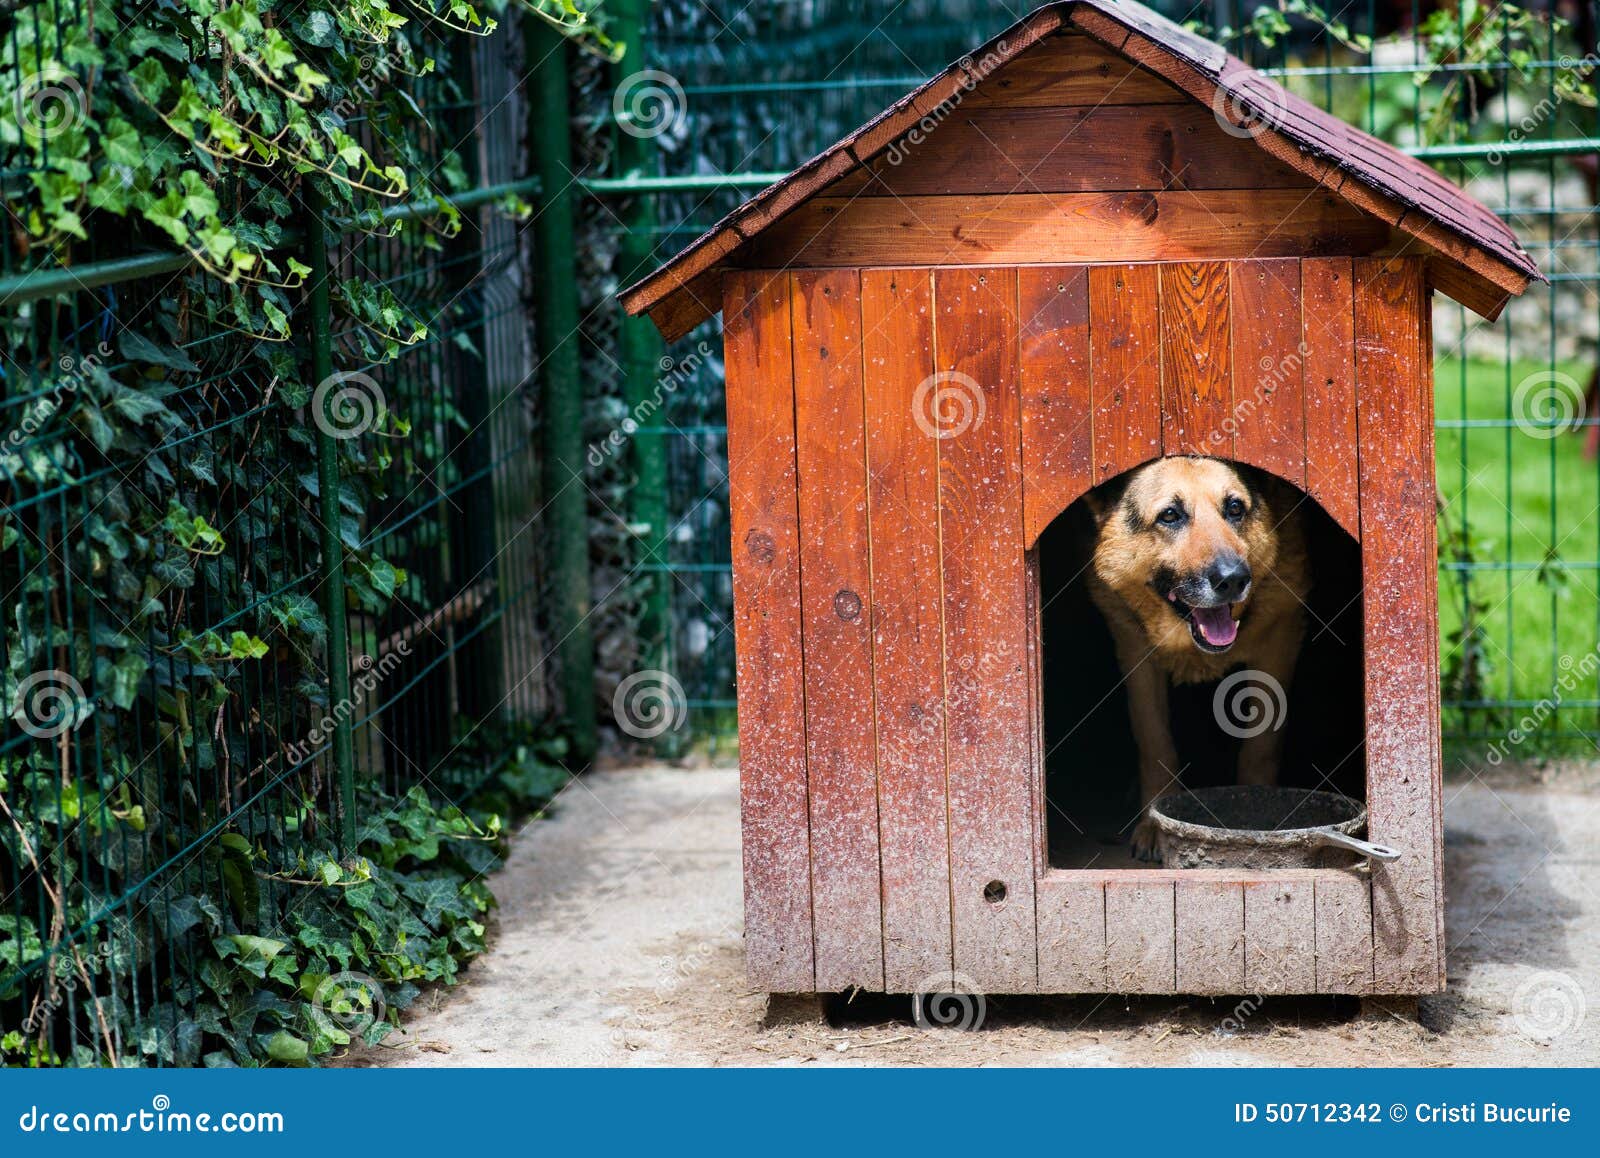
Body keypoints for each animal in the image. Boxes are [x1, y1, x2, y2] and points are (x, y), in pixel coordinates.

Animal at [1081, 451, 1305, 857]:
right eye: (1170, 515)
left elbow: (1260, 746)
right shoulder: (1136, 655)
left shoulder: (1280, 643)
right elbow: (1154, 742)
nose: (1233, 579)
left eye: (1234, 508)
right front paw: (1155, 826)